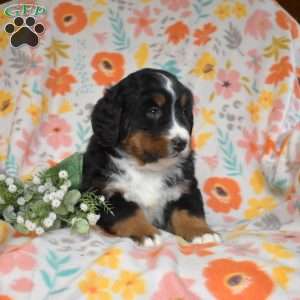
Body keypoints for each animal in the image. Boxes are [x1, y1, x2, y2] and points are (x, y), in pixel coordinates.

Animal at [80, 68, 220, 246]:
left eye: (183, 111)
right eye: (153, 111)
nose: (182, 143)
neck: (147, 168)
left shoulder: (185, 188)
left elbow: (189, 212)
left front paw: (202, 232)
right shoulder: (106, 193)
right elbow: (129, 214)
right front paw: (147, 233)